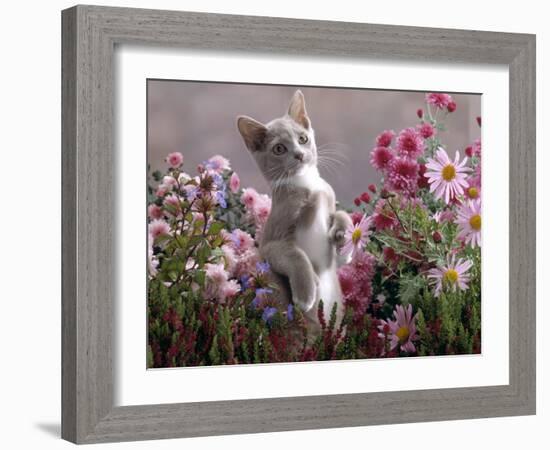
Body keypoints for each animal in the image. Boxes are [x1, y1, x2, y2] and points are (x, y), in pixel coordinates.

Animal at [238, 90, 354, 334]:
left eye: (302, 139)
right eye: (279, 149)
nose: (300, 155)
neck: (308, 186)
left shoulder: (327, 195)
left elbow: (341, 216)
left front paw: (344, 241)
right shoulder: (271, 242)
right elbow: (296, 255)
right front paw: (306, 292)